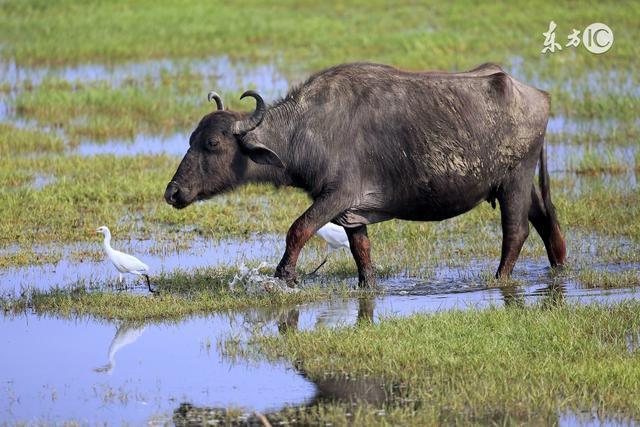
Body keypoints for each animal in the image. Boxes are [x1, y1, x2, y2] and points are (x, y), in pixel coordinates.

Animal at [165, 61, 564, 290]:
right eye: (191, 139)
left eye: (213, 143)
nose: (173, 192)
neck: (307, 131)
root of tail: (538, 96)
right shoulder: (353, 212)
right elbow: (362, 251)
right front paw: (366, 284)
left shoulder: (336, 196)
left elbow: (298, 228)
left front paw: (285, 276)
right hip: (519, 183)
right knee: (546, 220)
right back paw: (559, 267)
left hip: (515, 178)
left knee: (516, 231)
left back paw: (500, 279)